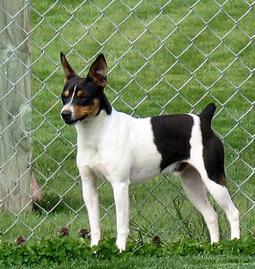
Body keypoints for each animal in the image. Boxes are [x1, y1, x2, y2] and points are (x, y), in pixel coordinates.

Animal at [60, 52, 240, 251]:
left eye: (83, 97)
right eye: (64, 97)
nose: (65, 114)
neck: (98, 133)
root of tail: (204, 120)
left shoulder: (120, 185)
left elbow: (121, 225)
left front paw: (120, 250)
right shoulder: (88, 185)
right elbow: (94, 225)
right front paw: (95, 248)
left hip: (213, 179)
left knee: (233, 212)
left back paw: (235, 242)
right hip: (191, 183)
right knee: (212, 216)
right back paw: (214, 246)